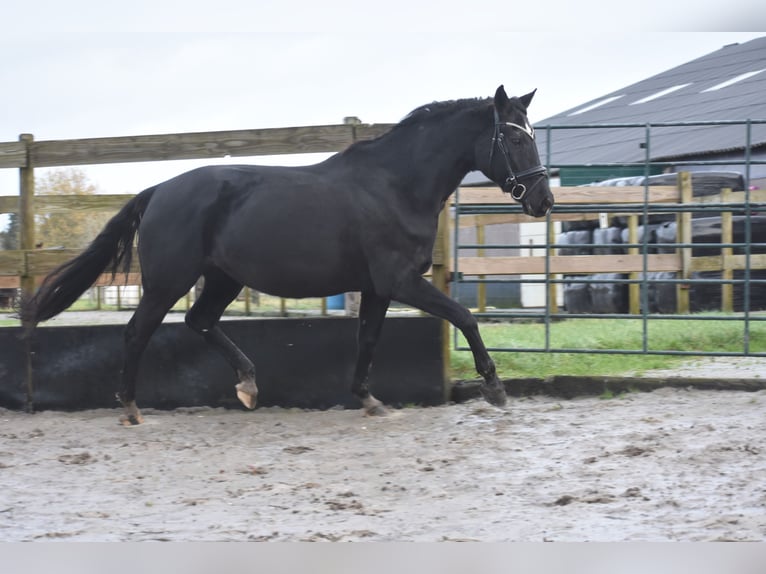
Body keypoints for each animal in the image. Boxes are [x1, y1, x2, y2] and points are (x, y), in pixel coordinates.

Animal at [22, 86, 552, 428]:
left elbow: (368, 339)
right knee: (138, 332)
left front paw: (369, 400)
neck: (396, 185)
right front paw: (495, 389)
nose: (542, 201)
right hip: (169, 280)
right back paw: (131, 409)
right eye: (516, 138)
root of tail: (157, 191)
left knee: (199, 321)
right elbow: (465, 317)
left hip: (222, 279)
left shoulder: (377, 287)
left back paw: (248, 384)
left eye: (532, 135)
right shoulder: (400, 281)